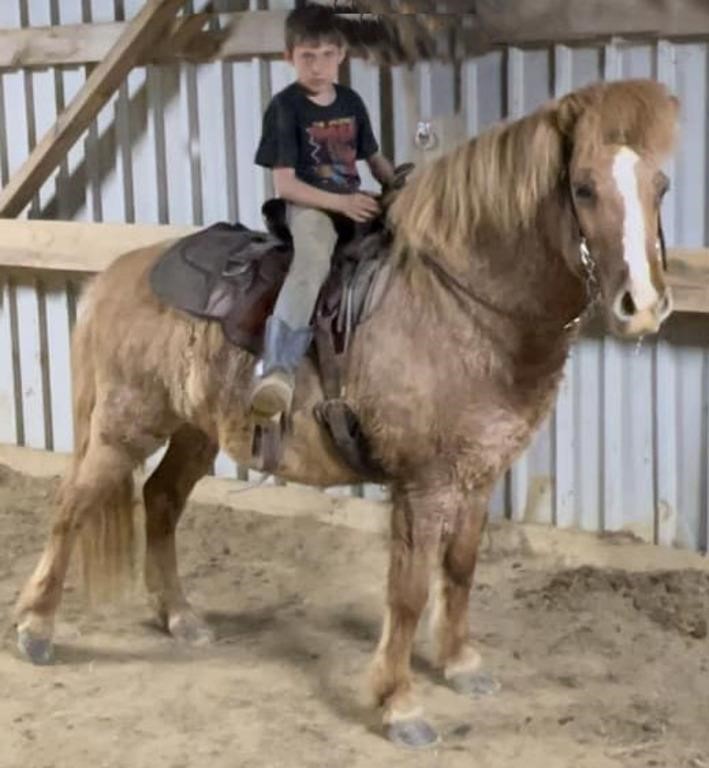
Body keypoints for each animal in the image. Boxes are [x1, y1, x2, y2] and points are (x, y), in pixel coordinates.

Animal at [15, 79, 680, 752]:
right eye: (584, 187)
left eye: (661, 186)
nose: (643, 306)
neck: (458, 305)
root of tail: (119, 273)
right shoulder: (422, 484)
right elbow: (408, 592)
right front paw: (399, 704)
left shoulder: (479, 474)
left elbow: (461, 568)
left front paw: (461, 665)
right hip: (124, 425)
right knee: (72, 507)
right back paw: (36, 629)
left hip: (196, 431)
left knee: (161, 500)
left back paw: (180, 616)